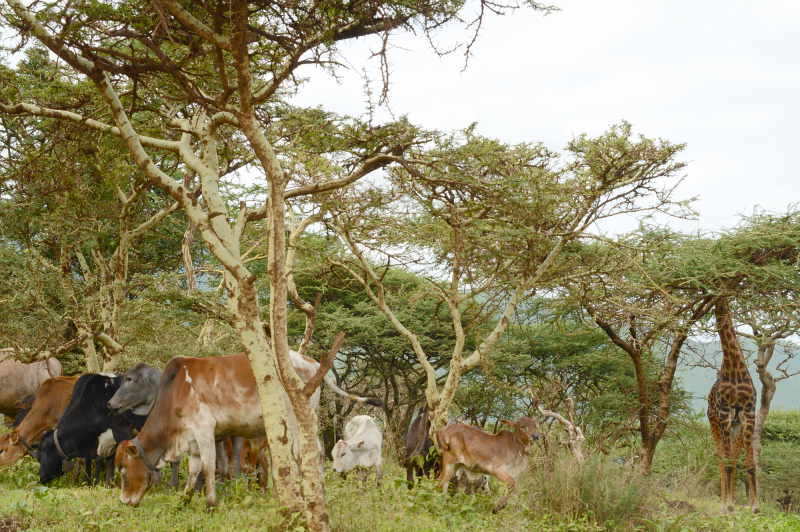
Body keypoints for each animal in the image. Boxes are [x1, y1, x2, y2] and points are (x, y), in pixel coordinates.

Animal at [113, 352, 384, 510]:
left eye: (123, 469)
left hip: (294, 418)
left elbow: (209, 468)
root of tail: (310, 361)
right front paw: (183, 501)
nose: (124, 501)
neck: (174, 391)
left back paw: (304, 495)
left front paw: (210, 504)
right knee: (312, 452)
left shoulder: (204, 430)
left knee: (305, 453)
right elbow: (193, 471)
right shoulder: (193, 439)